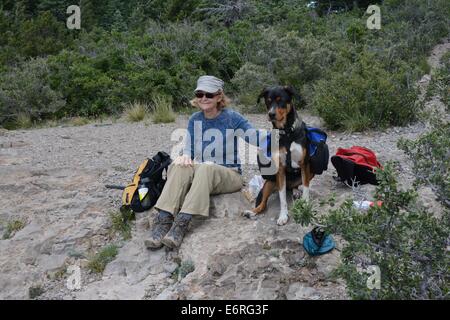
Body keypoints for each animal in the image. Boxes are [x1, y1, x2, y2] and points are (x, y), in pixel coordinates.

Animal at [246, 85, 312, 225]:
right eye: (268, 101)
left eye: (280, 100)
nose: (271, 114)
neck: (287, 133)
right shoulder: (280, 170)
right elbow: (282, 198)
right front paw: (283, 216)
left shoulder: (305, 164)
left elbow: (306, 189)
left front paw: (305, 206)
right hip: (269, 182)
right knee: (263, 203)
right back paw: (252, 211)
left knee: (296, 186)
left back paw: (296, 191)